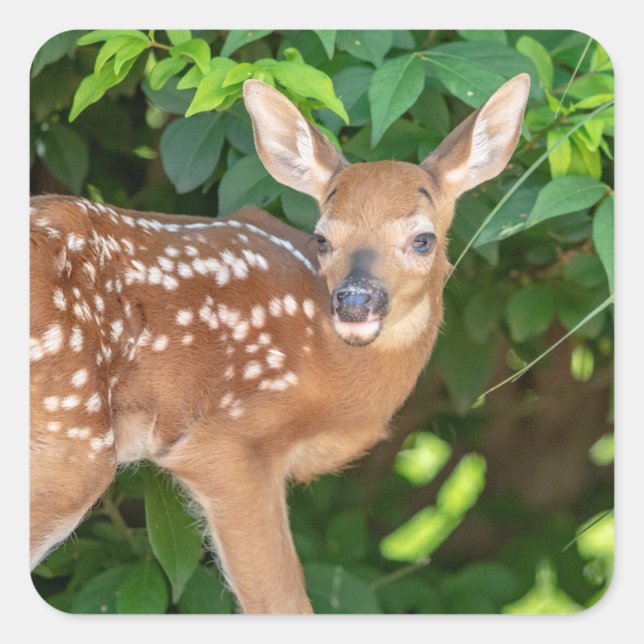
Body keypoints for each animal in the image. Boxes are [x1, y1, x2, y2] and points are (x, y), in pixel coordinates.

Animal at [29, 73, 530, 613]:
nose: (353, 302)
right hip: (72, 436)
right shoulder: (227, 440)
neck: (330, 373)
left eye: (423, 239)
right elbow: (284, 601)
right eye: (323, 238)